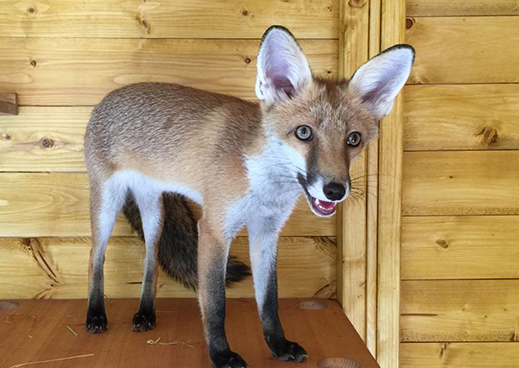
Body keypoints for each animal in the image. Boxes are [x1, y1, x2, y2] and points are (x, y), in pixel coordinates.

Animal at [86, 25, 418, 368]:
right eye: (303, 133)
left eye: (353, 139)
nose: (335, 191)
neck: (262, 184)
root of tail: (109, 97)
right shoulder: (214, 229)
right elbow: (215, 304)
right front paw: (221, 355)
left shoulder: (266, 231)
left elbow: (269, 301)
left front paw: (278, 345)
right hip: (106, 206)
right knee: (95, 256)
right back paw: (96, 315)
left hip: (154, 213)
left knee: (151, 258)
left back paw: (145, 313)